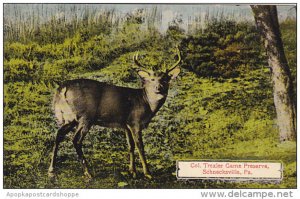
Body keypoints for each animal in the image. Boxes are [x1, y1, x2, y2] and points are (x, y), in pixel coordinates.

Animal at [48, 48, 182, 180]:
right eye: (152, 79)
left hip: (69, 117)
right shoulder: (135, 122)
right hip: (85, 116)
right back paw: (87, 173)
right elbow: (140, 146)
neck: (146, 102)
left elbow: (130, 146)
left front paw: (132, 171)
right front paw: (147, 173)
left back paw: (51, 170)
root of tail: (62, 88)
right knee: (76, 140)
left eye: (165, 79)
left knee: (59, 134)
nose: (158, 88)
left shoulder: (126, 124)